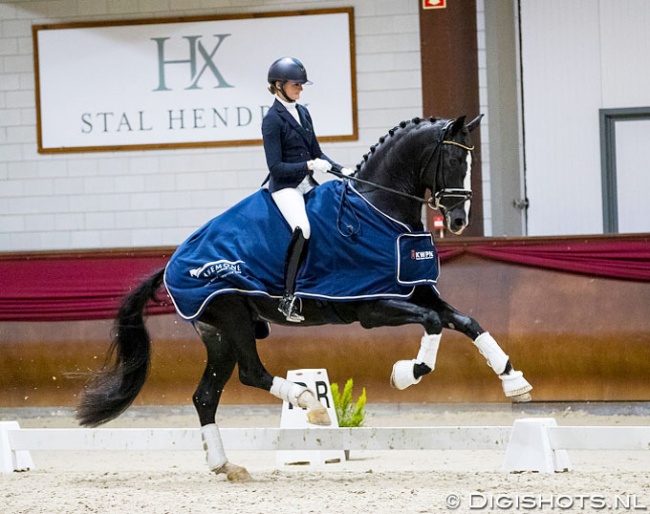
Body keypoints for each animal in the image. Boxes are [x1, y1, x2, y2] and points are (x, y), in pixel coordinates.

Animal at [78, 116, 528, 480]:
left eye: (470, 163)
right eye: (452, 160)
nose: (459, 220)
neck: (379, 212)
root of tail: (172, 263)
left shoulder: (417, 291)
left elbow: (467, 322)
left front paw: (513, 381)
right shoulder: (371, 306)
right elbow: (434, 323)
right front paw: (406, 373)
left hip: (218, 334)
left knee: (205, 396)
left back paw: (226, 466)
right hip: (233, 317)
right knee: (251, 374)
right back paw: (309, 402)